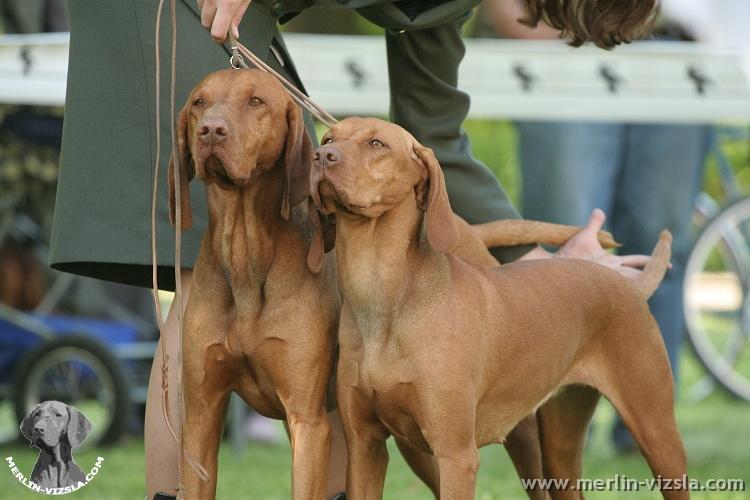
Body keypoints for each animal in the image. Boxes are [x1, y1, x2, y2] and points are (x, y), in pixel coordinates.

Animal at [308, 115, 692, 498]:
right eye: (329, 138)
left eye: (377, 144)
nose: (321, 156)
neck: (381, 296)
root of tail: (628, 286)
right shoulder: (365, 447)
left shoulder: (455, 455)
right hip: (557, 448)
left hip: (655, 433)